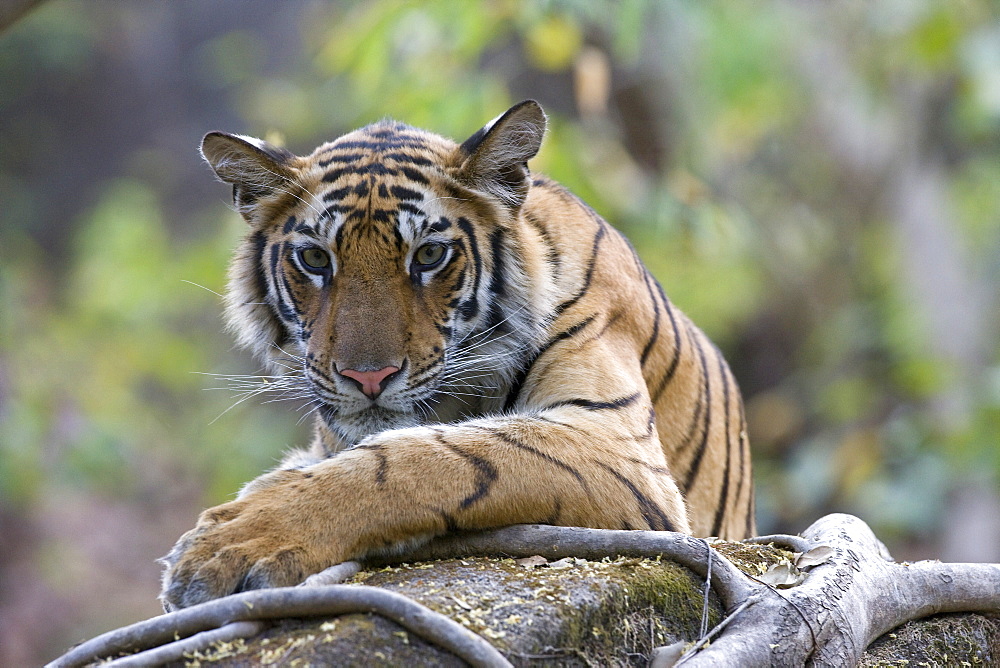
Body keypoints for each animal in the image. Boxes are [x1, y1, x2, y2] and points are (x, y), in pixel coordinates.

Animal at [160, 100, 752, 612]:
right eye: (314, 259)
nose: (367, 377)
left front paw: (228, 544)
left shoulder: (616, 442)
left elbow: (430, 457)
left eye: (428, 255)